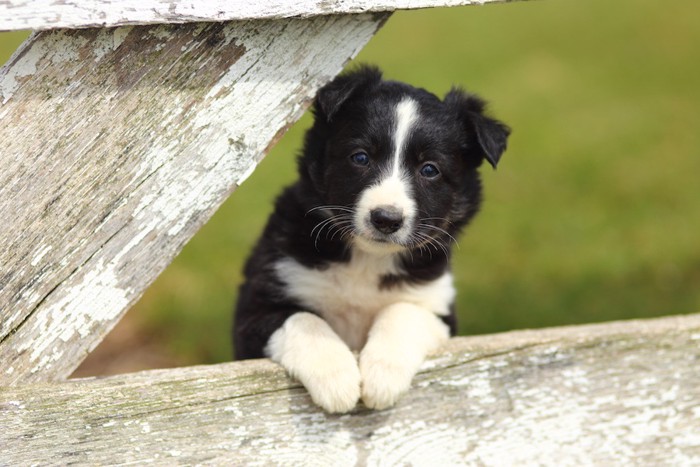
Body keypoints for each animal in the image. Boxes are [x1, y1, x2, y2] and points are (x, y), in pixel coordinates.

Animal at [232, 66, 512, 414]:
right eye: (361, 157)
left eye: (429, 169)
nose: (386, 219)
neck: (367, 259)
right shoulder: (255, 308)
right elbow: (303, 319)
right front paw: (336, 379)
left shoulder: (437, 306)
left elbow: (402, 312)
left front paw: (382, 377)